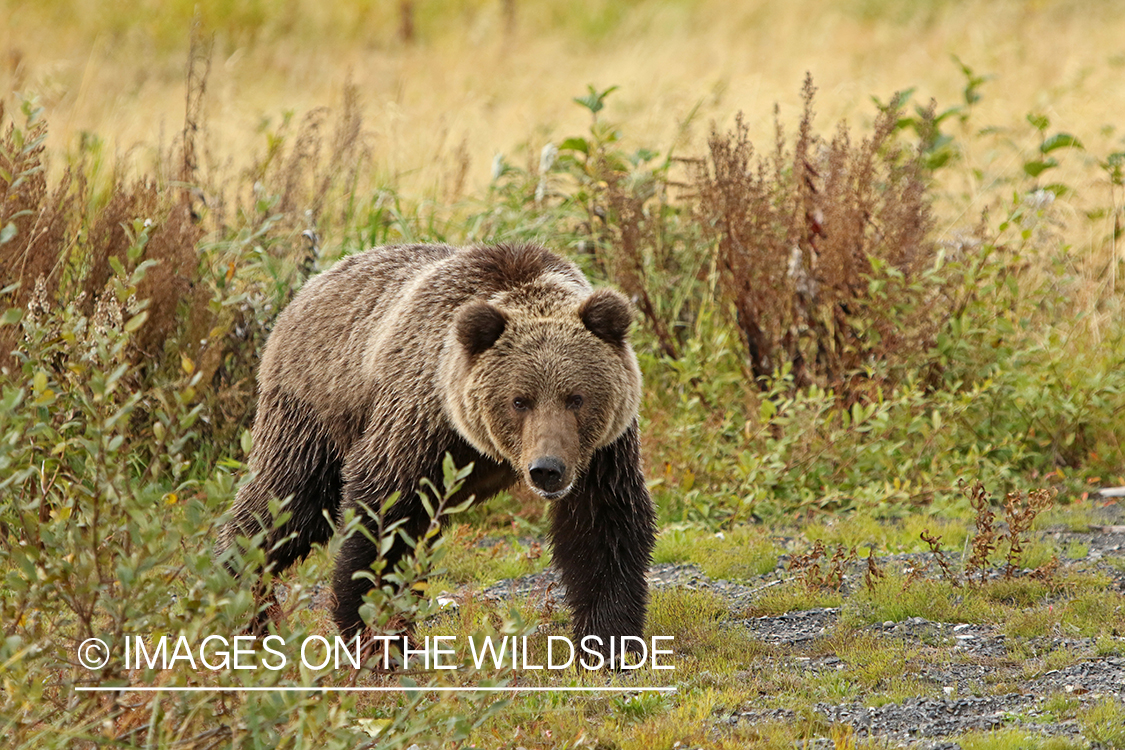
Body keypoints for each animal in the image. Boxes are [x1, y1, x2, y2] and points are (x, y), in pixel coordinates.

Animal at [217, 245, 657, 656]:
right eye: (520, 400)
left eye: (576, 398)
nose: (546, 468)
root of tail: (307, 288)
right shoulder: (419, 423)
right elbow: (385, 516)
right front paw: (376, 634)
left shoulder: (602, 452)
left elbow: (602, 528)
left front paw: (610, 642)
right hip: (313, 411)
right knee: (284, 503)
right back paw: (236, 597)